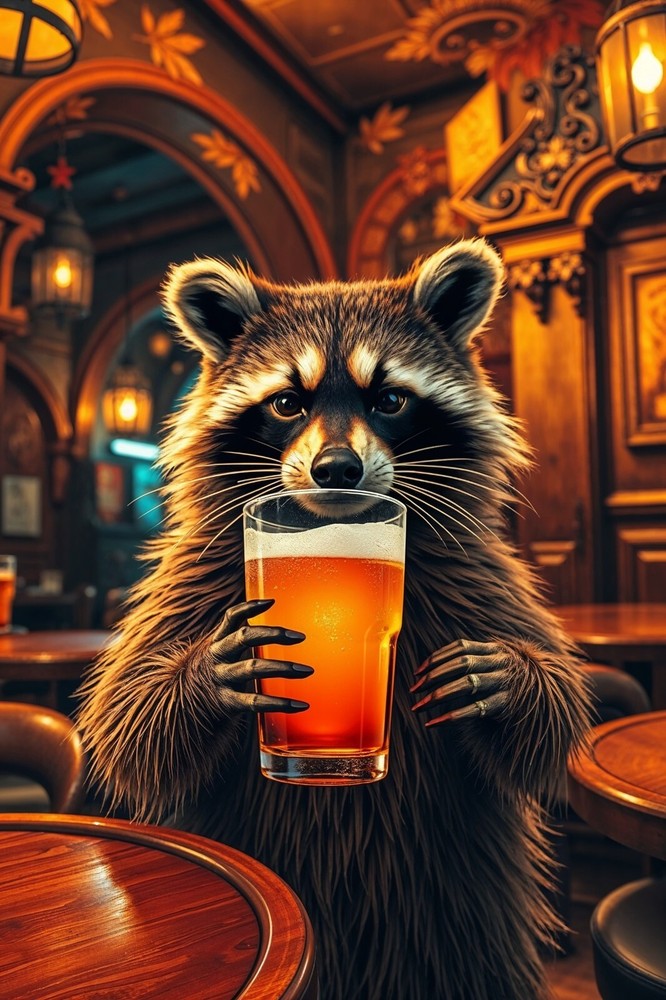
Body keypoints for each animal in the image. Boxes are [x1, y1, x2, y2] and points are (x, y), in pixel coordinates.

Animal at [78, 239, 591, 1000]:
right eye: (288, 402)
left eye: (390, 399)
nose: (337, 468)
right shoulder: (191, 581)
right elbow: (128, 722)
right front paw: (209, 674)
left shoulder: (480, 577)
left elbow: (557, 726)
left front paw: (511, 679)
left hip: (460, 941)